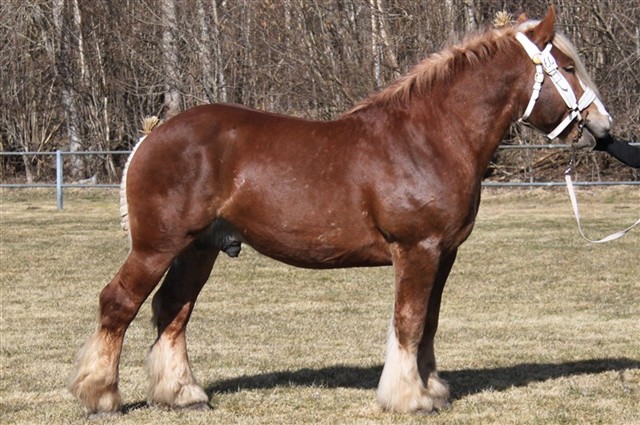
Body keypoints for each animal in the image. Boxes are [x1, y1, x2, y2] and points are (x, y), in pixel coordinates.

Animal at [69, 8, 608, 416]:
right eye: (569, 67)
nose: (601, 127)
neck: (431, 136)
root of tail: (152, 135)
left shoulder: (444, 254)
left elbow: (429, 322)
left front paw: (431, 389)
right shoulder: (418, 250)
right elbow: (409, 322)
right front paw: (409, 398)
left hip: (199, 249)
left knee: (172, 311)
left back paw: (183, 394)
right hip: (157, 246)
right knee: (118, 303)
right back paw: (101, 396)